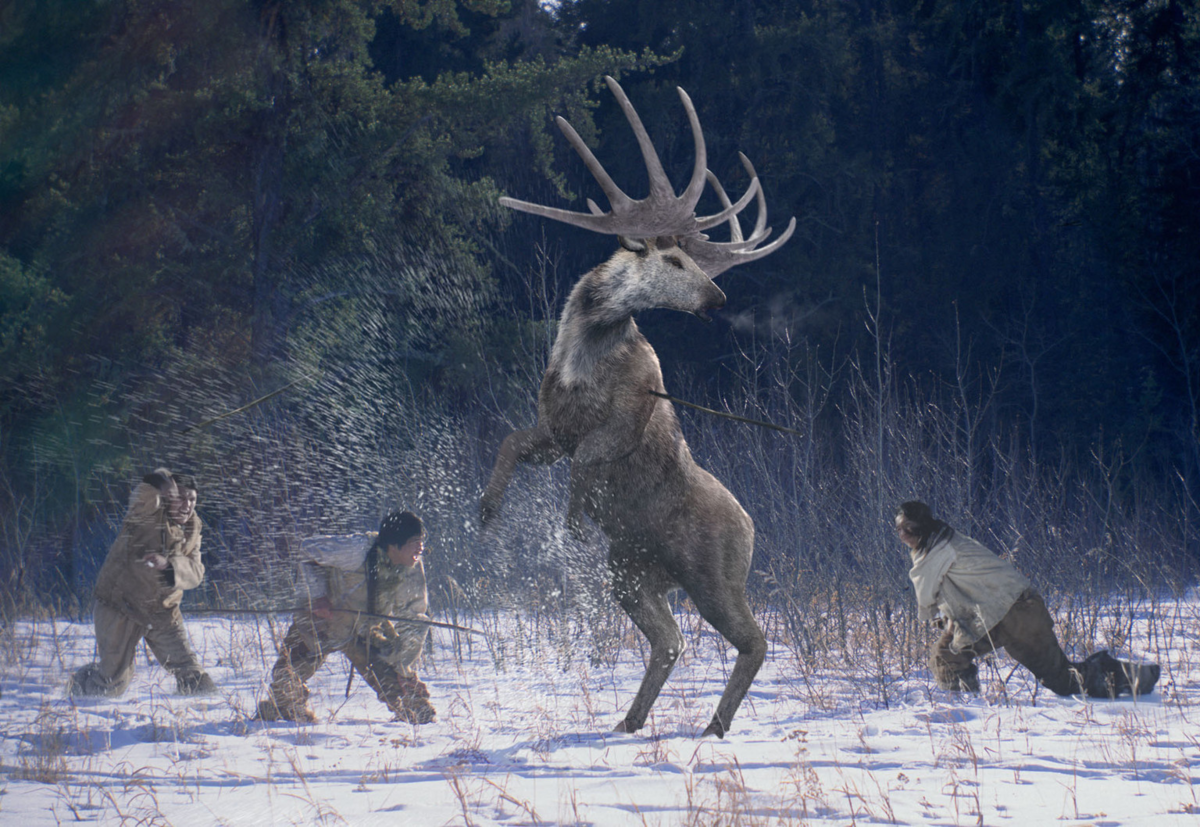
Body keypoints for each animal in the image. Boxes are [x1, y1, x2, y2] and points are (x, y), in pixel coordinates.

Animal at [477, 77, 796, 734]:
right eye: (673, 259)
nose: (717, 297)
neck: (583, 354)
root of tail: (754, 529)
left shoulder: (626, 417)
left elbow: (592, 458)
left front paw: (571, 523)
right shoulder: (553, 426)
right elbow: (513, 442)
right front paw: (486, 508)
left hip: (711, 572)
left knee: (752, 639)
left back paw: (713, 725)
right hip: (631, 569)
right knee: (670, 639)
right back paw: (629, 721)